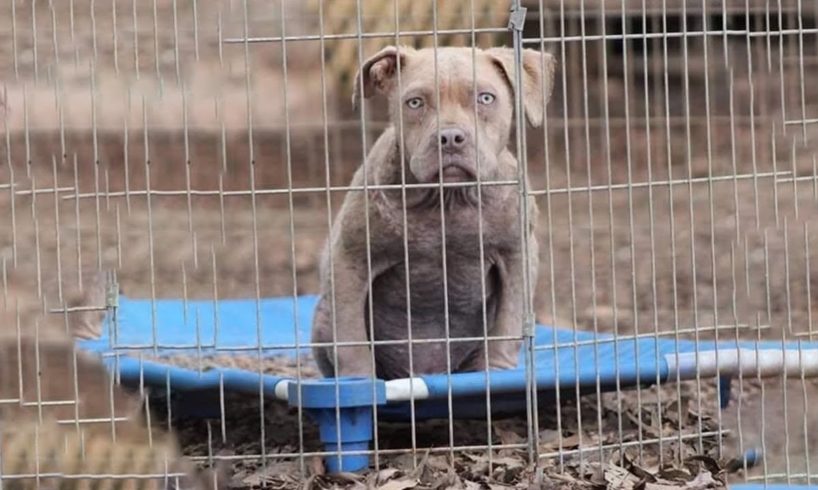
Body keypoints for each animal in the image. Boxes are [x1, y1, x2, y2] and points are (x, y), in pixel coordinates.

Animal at [310, 45, 556, 378]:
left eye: (486, 98)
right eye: (415, 102)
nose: (450, 137)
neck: (446, 200)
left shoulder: (517, 256)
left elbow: (508, 323)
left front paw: (496, 371)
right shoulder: (351, 258)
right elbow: (351, 339)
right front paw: (358, 381)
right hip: (323, 314)